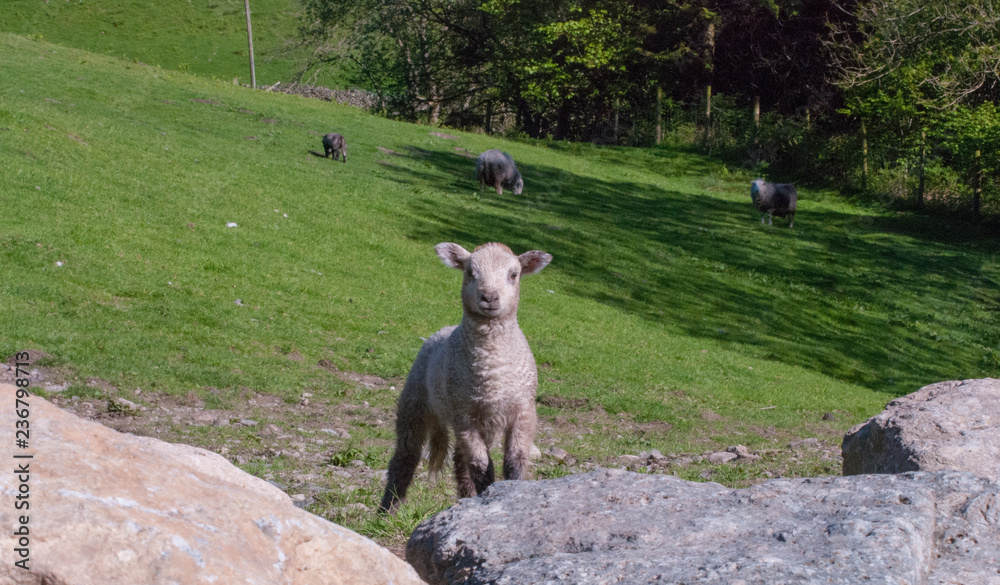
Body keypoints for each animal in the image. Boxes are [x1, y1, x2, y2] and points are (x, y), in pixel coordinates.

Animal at [378, 242, 552, 513]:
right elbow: (483, 468)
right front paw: (489, 497)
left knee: (460, 462)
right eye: (470, 272)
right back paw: (387, 510)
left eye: (514, 275)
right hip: (415, 401)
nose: (490, 297)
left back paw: (465, 497)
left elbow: (515, 462)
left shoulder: (523, 410)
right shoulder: (465, 417)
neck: (492, 370)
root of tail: (444, 329)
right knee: (406, 456)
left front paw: (511, 492)